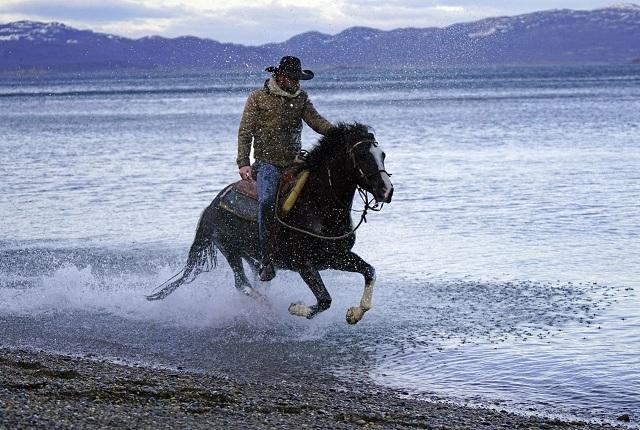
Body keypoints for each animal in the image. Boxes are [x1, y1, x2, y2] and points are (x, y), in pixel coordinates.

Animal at [147, 122, 392, 324]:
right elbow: (324, 300)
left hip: (248, 252)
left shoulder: (335, 256)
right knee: (242, 284)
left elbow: (369, 271)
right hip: (229, 249)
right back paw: (268, 309)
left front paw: (354, 314)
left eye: (382, 154)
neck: (317, 205)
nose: (386, 191)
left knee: (255, 277)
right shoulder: (304, 263)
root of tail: (212, 205)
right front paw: (294, 308)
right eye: (362, 155)